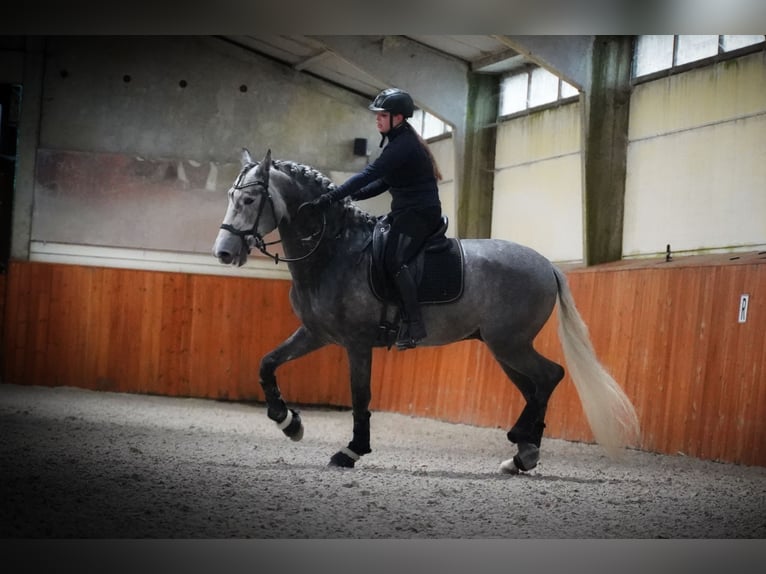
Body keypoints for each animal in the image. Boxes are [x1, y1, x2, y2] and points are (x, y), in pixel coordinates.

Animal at [213, 151, 640, 474]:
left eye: (248, 201)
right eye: (230, 197)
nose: (224, 252)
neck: (334, 250)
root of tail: (547, 265)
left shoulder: (356, 342)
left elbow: (360, 396)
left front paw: (351, 450)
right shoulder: (316, 334)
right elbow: (267, 363)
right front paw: (288, 422)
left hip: (510, 344)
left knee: (550, 376)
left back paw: (523, 445)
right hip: (505, 348)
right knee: (537, 386)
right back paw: (523, 454)